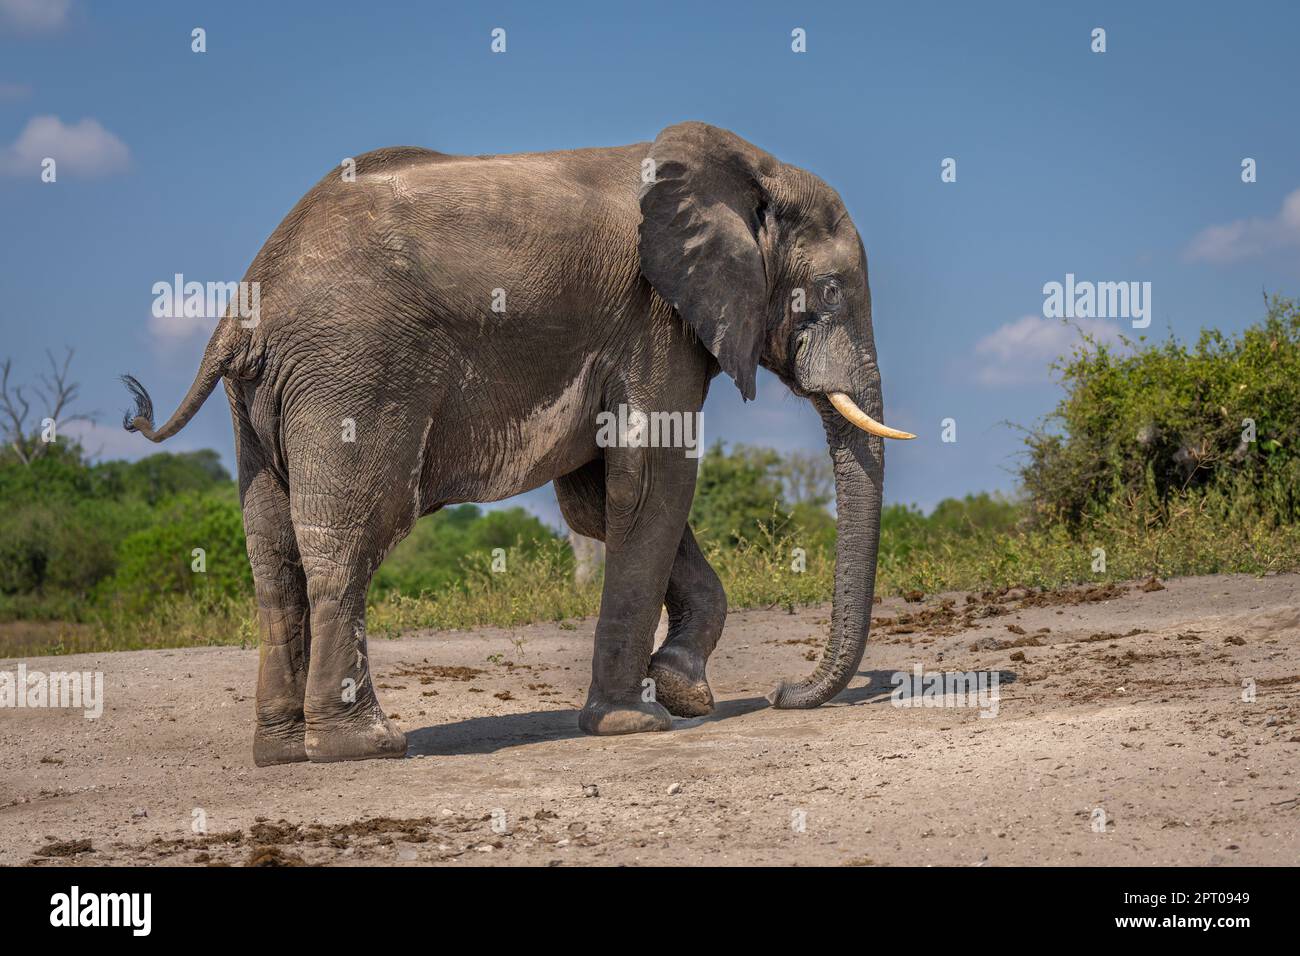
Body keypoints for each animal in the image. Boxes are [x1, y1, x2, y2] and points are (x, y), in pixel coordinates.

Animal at [121, 121, 914, 766]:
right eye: (833, 291)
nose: (784, 691)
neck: (751, 169)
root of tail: (243, 306)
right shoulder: (652, 316)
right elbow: (651, 485)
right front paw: (633, 724)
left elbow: (599, 500)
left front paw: (683, 691)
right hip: (354, 371)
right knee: (352, 538)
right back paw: (365, 746)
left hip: (263, 402)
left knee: (273, 557)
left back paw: (283, 753)